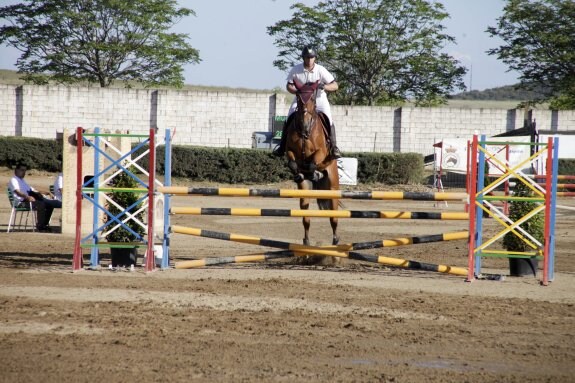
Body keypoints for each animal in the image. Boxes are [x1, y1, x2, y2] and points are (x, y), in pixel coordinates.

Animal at [284, 79, 340, 250]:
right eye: (298, 98)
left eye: (313, 99)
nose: (305, 124)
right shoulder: (290, 151)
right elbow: (293, 163)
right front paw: (300, 174)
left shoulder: (320, 152)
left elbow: (313, 162)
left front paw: (314, 173)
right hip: (304, 193)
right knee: (306, 217)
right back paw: (306, 241)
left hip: (333, 185)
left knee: (334, 217)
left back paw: (336, 240)